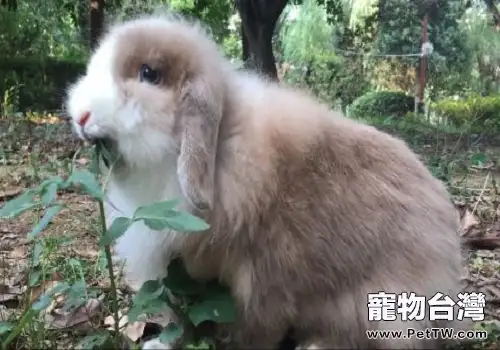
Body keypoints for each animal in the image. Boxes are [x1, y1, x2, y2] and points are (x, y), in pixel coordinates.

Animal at [65, 13, 472, 350]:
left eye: (149, 74)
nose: (81, 115)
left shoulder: (261, 276)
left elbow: (253, 329)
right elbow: (183, 321)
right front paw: (159, 345)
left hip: (377, 309)